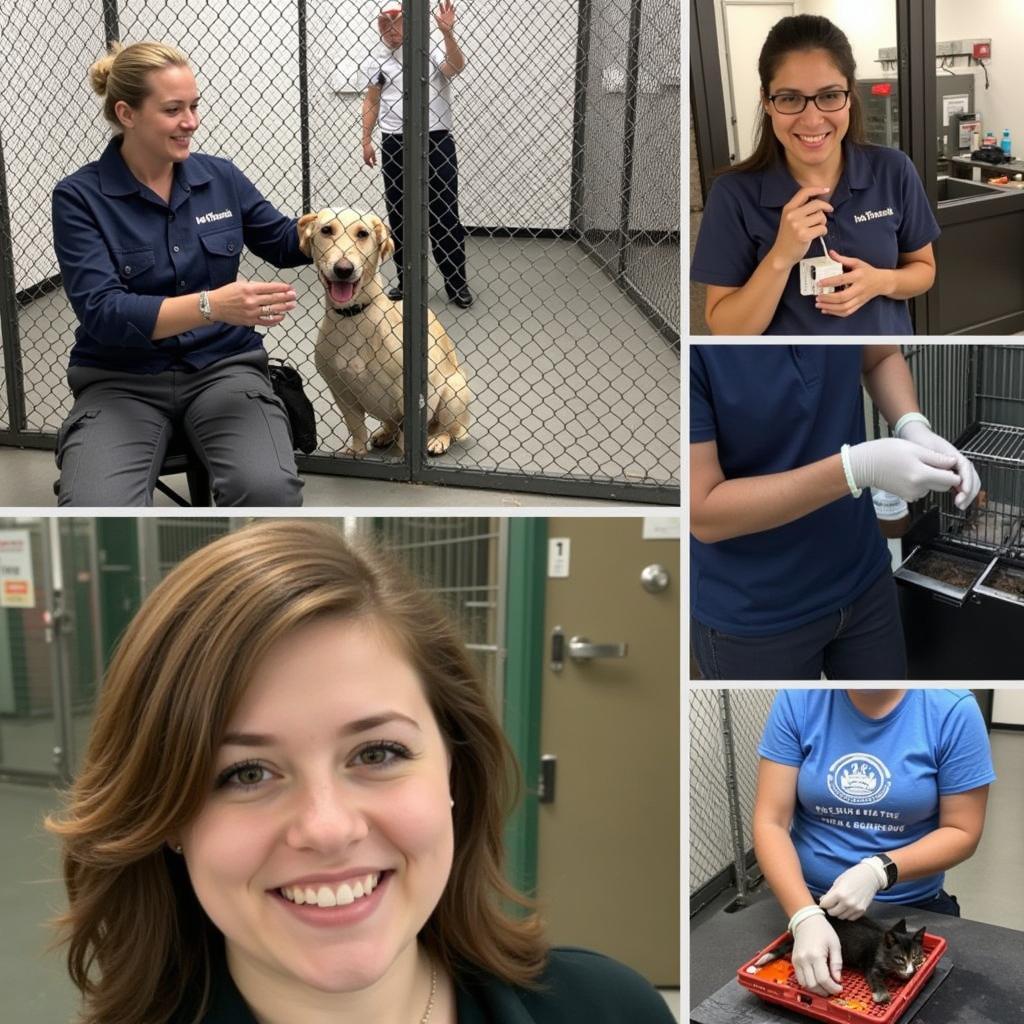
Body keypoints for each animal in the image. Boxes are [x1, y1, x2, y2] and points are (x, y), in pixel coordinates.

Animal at [299, 207, 468, 456]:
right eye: (326, 230)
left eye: (363, 234)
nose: (343, 269)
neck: (354, 317)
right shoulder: (341, 391)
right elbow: (357, 428)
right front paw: (357, 451)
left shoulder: (413, 396)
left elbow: (406, 438)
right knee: (391, 425)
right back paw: (385, 435)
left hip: (454, 391)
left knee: (449, 429)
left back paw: (438, 439)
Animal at [753, 917, 929, 1003]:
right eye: (899, 958)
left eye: (915, 956)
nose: (910, 969)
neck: (882, 943)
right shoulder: (871, 962)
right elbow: (875, 976)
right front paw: (882, 995)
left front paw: (907, 975)